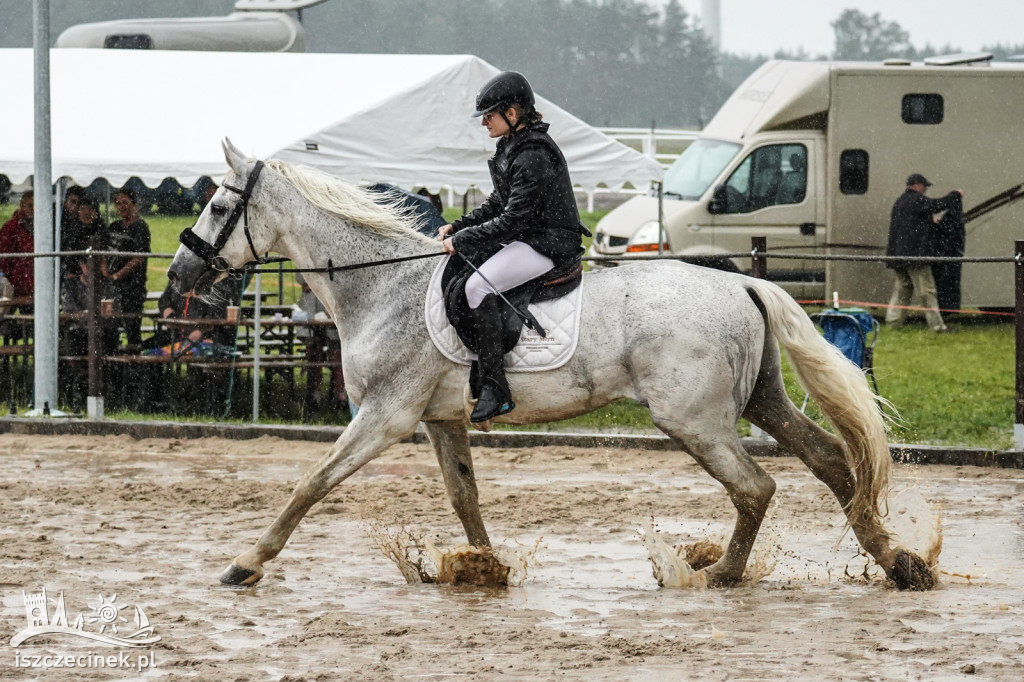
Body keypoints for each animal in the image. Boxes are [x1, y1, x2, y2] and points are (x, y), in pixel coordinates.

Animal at [167, 140, 937, 593]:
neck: (380, 285)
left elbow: (310, 484)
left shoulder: (384, 417)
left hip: (695, 419)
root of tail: (745, 284)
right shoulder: (441, 420)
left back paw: (722, 572)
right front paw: (487, 568)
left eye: (217, 203)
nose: (178, 276)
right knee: (832, 461)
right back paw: (898, 563)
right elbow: (465, 498)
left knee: (757, 486)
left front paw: (245, 563)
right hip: (759, 402)